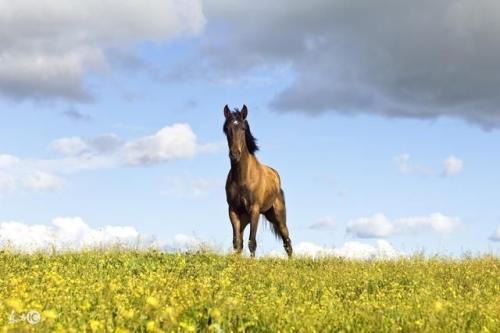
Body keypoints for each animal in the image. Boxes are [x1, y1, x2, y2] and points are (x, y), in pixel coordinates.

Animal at [223, 104, 292, 256]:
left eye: (243, 128)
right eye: (227, 129)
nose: (234, 154)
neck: (243, 178)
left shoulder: (254, 210)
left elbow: (252, 242)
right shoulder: (233, 211)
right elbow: (237, 243)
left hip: (278, 217)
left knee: (287, 242)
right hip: (245, 219)